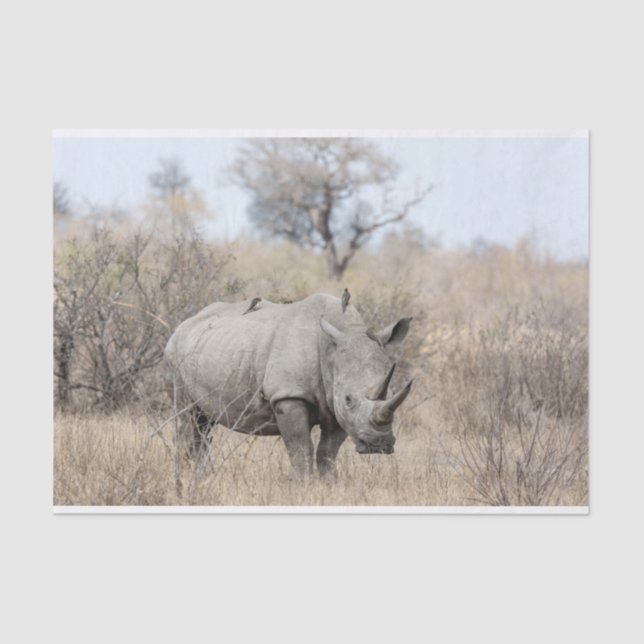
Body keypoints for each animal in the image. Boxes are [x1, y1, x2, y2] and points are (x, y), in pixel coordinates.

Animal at [164, 293, 413, 477]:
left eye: (392, 392)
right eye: (349, 399)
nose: (378, 445)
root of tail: (183, 324)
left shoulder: (335, 405)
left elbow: (327, 453)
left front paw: (329, 485)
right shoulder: (289, 396)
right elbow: (301, 449)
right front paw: (304, 486)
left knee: (204, 424)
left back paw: (200, 477)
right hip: (175, 355)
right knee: (189, 418)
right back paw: (185, 477)